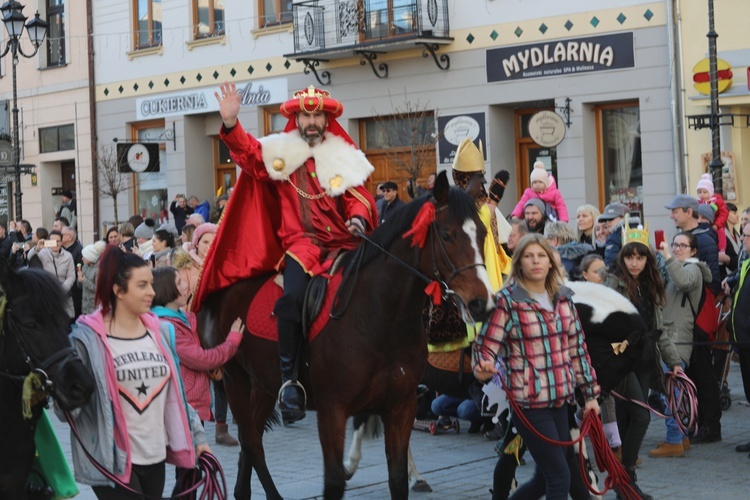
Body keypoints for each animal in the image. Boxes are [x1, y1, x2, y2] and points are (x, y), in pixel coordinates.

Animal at [197, 171, 496, 496]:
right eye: (446, 235)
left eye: (482, 233)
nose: (482, 303)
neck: (378, 317)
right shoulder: (332, 411)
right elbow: (334, 481)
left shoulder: (401, 406)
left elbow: (396, 477)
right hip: (235, 378)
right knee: (251, 441)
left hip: (263, 383)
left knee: (251, 441)